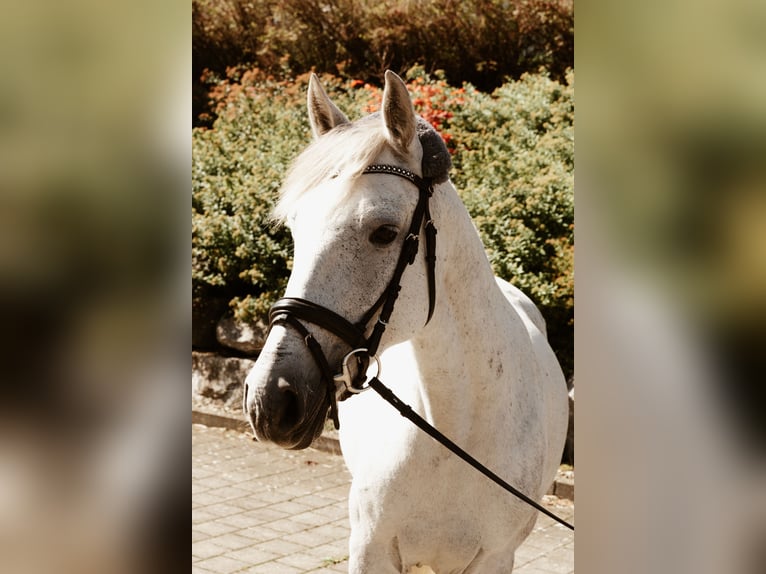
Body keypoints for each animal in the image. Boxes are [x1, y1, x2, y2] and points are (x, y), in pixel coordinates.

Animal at [244, 70, 569, 573]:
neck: (455, 426)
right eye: (296, 230)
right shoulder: (370, 549)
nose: (270, 400)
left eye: (384, 233)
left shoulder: (494, 558)